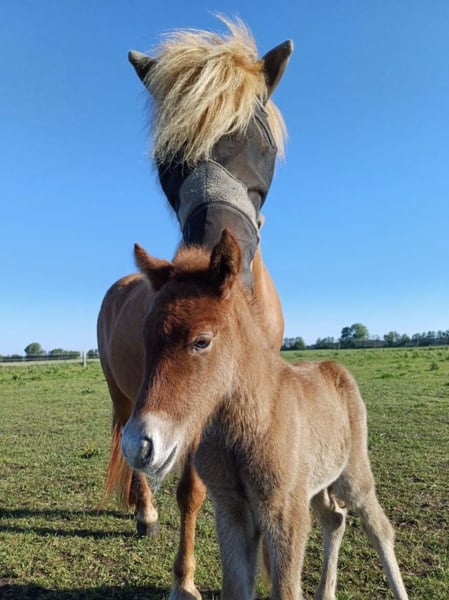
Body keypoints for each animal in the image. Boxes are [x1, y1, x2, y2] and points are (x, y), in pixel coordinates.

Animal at [97, 17, 292, 599]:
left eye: (258, 141)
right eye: (169, 159)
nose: (204, 264)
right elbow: (192, 491)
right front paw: (183, 579)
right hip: (124, 397)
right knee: (128, 441)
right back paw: (143, 512)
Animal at [121, 230, 409, 600]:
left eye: (201, 341)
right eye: (145, 339)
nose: (137, 445)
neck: (250, 427)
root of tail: (333, 367)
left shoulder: (283, 513)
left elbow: (286, 589)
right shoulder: (232, 513)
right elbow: (237, 588)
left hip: (353, 474)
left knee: (378, 527)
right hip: (317, 485)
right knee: (334, 519)